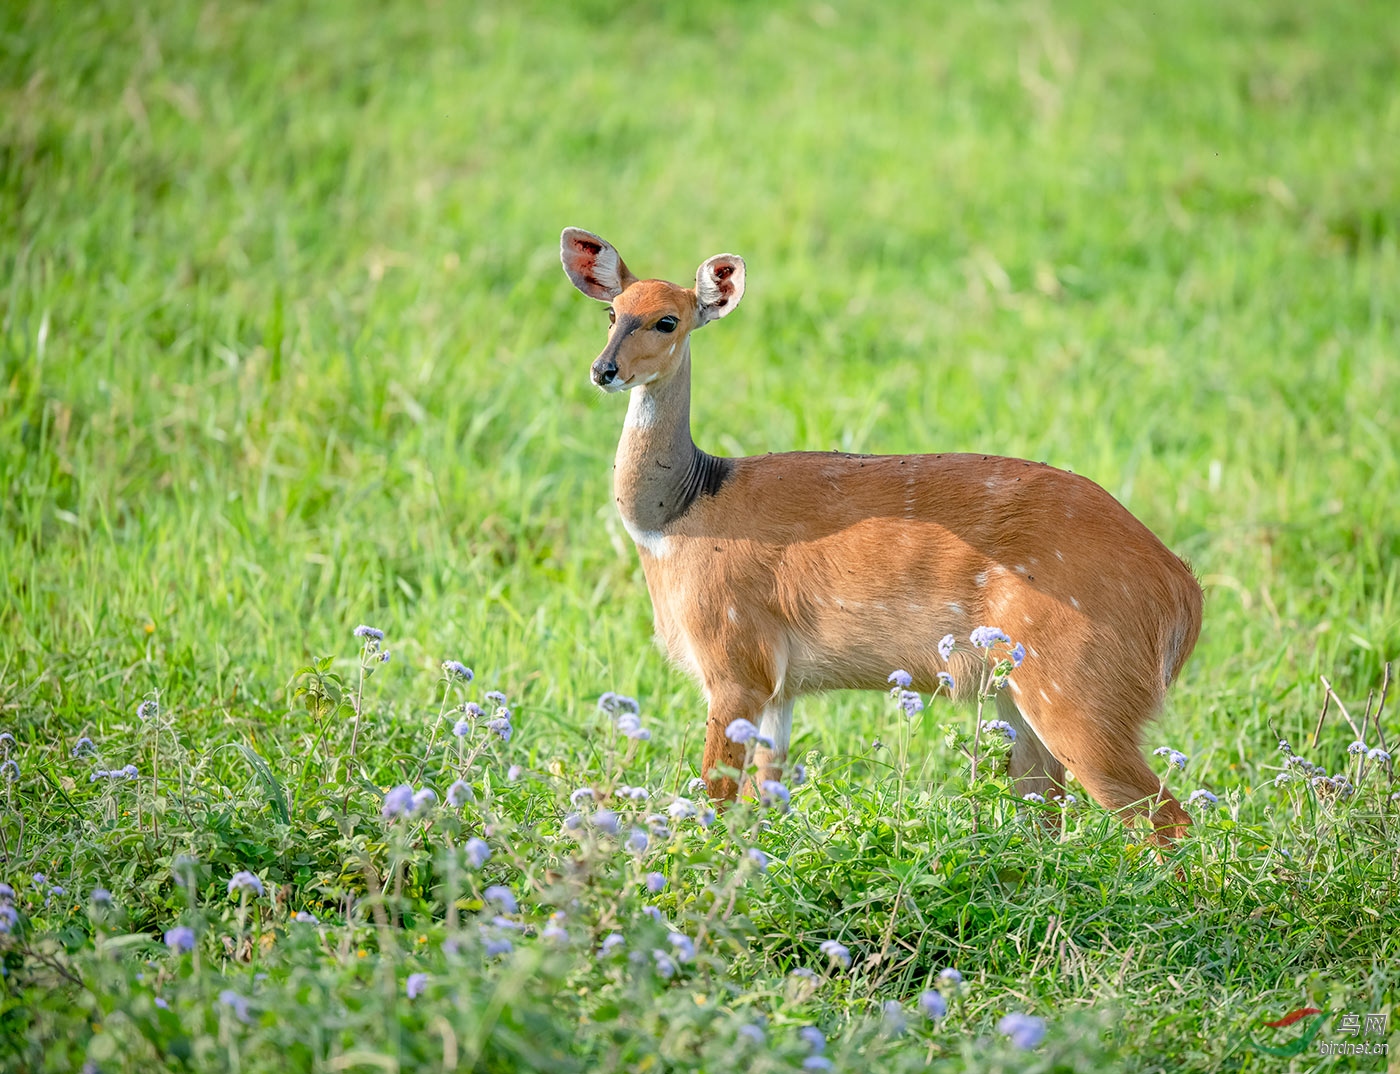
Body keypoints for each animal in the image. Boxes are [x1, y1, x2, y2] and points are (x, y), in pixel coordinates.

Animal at [557, 226, 1204, 845]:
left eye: (668, 319)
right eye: (612, 312)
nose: (603, 370)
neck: (681, 512)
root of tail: (1183, 594)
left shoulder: (733, 658)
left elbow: (715, 798)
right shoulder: (781, 686)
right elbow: (765, 795)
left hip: (1078, 691)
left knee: (1166, 820)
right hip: (1022, 698)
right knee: (1045, 807)